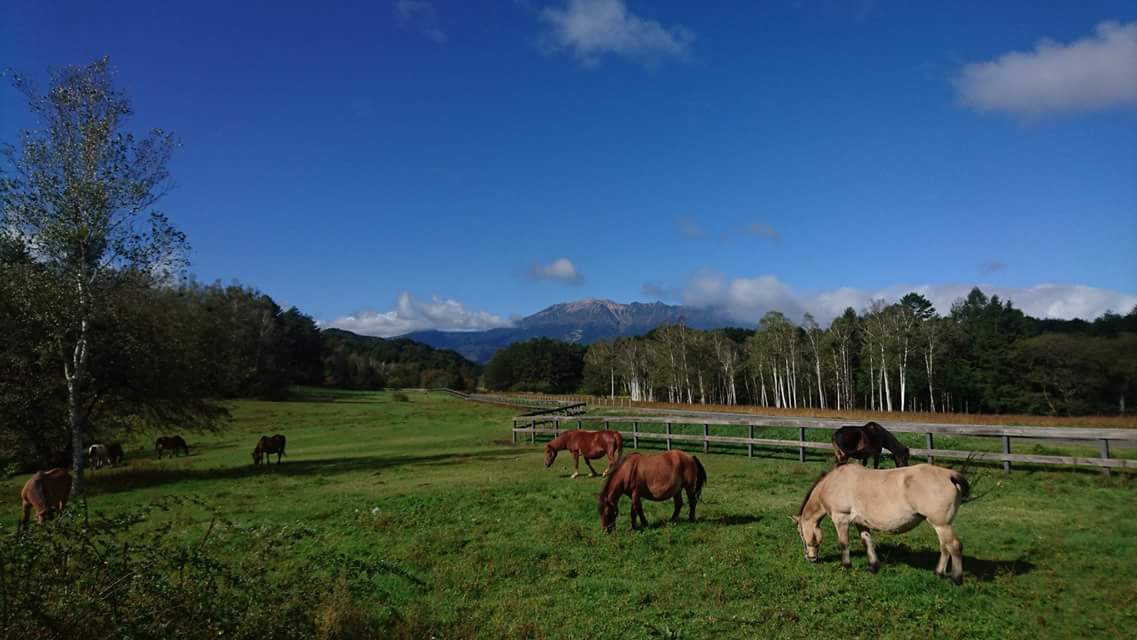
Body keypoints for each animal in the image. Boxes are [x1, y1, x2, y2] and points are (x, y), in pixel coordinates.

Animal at [791, 466, 968, 586]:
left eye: (800, 534)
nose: (810, 558)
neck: (833, 483)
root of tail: (950, 475)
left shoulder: (841, 519)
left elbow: (844, 544)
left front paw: (846, 565)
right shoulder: (860, 523)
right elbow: (867, 542)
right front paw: (873, 566)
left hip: (941, 524)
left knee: (953, 546)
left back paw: (956, 578)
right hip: (942, 526)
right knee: (945, 547)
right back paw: (938, 573)